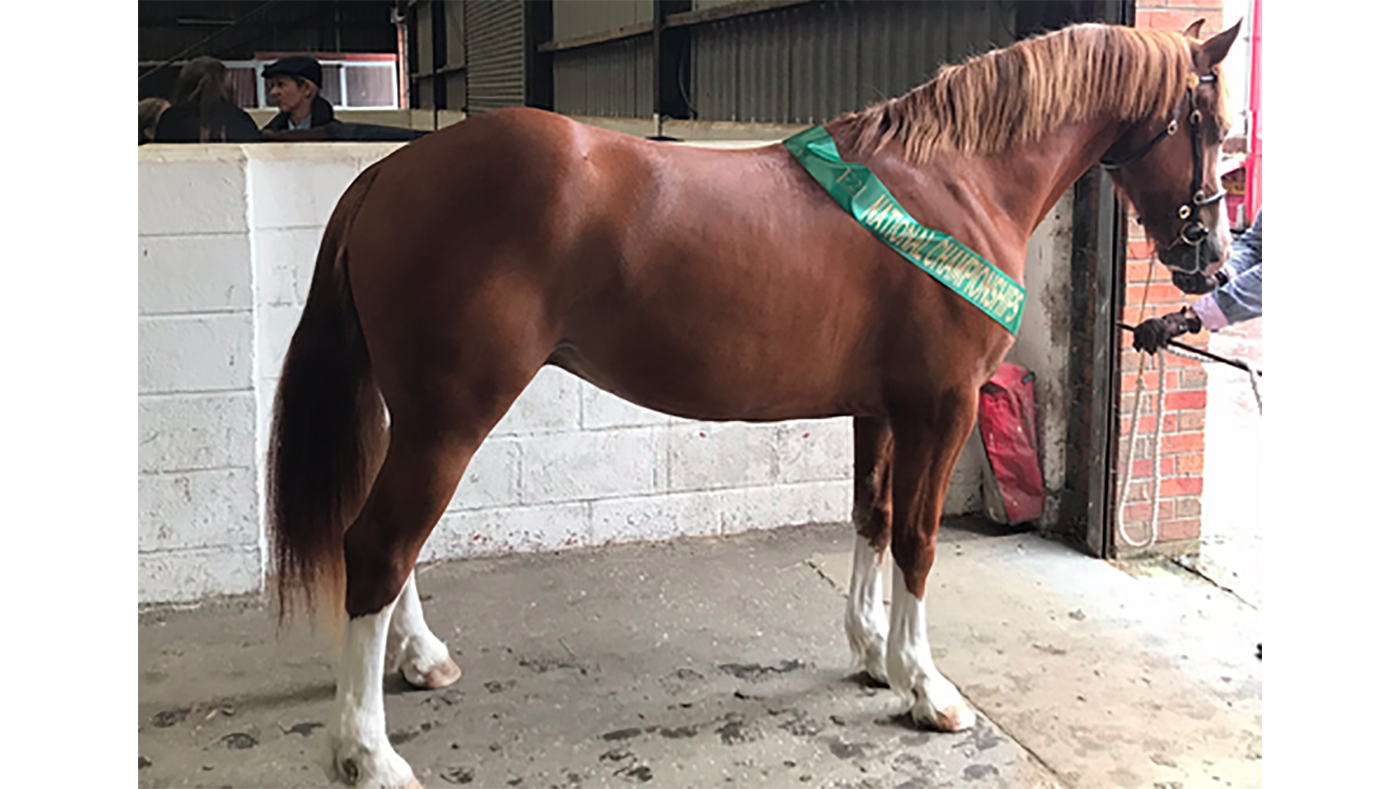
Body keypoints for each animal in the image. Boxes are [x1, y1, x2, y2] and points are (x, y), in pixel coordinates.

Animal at [266, 19, 1241, 787]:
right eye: (1213, 126)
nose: (1213, 261)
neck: (951, 184)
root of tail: (391, 172)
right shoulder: (941, 406)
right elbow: (920, 542)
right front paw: (926, 687)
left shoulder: (881, 408)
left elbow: (872, 517)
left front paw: (870, 653)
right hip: (452, 415)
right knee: (378, 545)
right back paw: (366, 753)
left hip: (418, 415)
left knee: (390, 546)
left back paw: (420, 660)